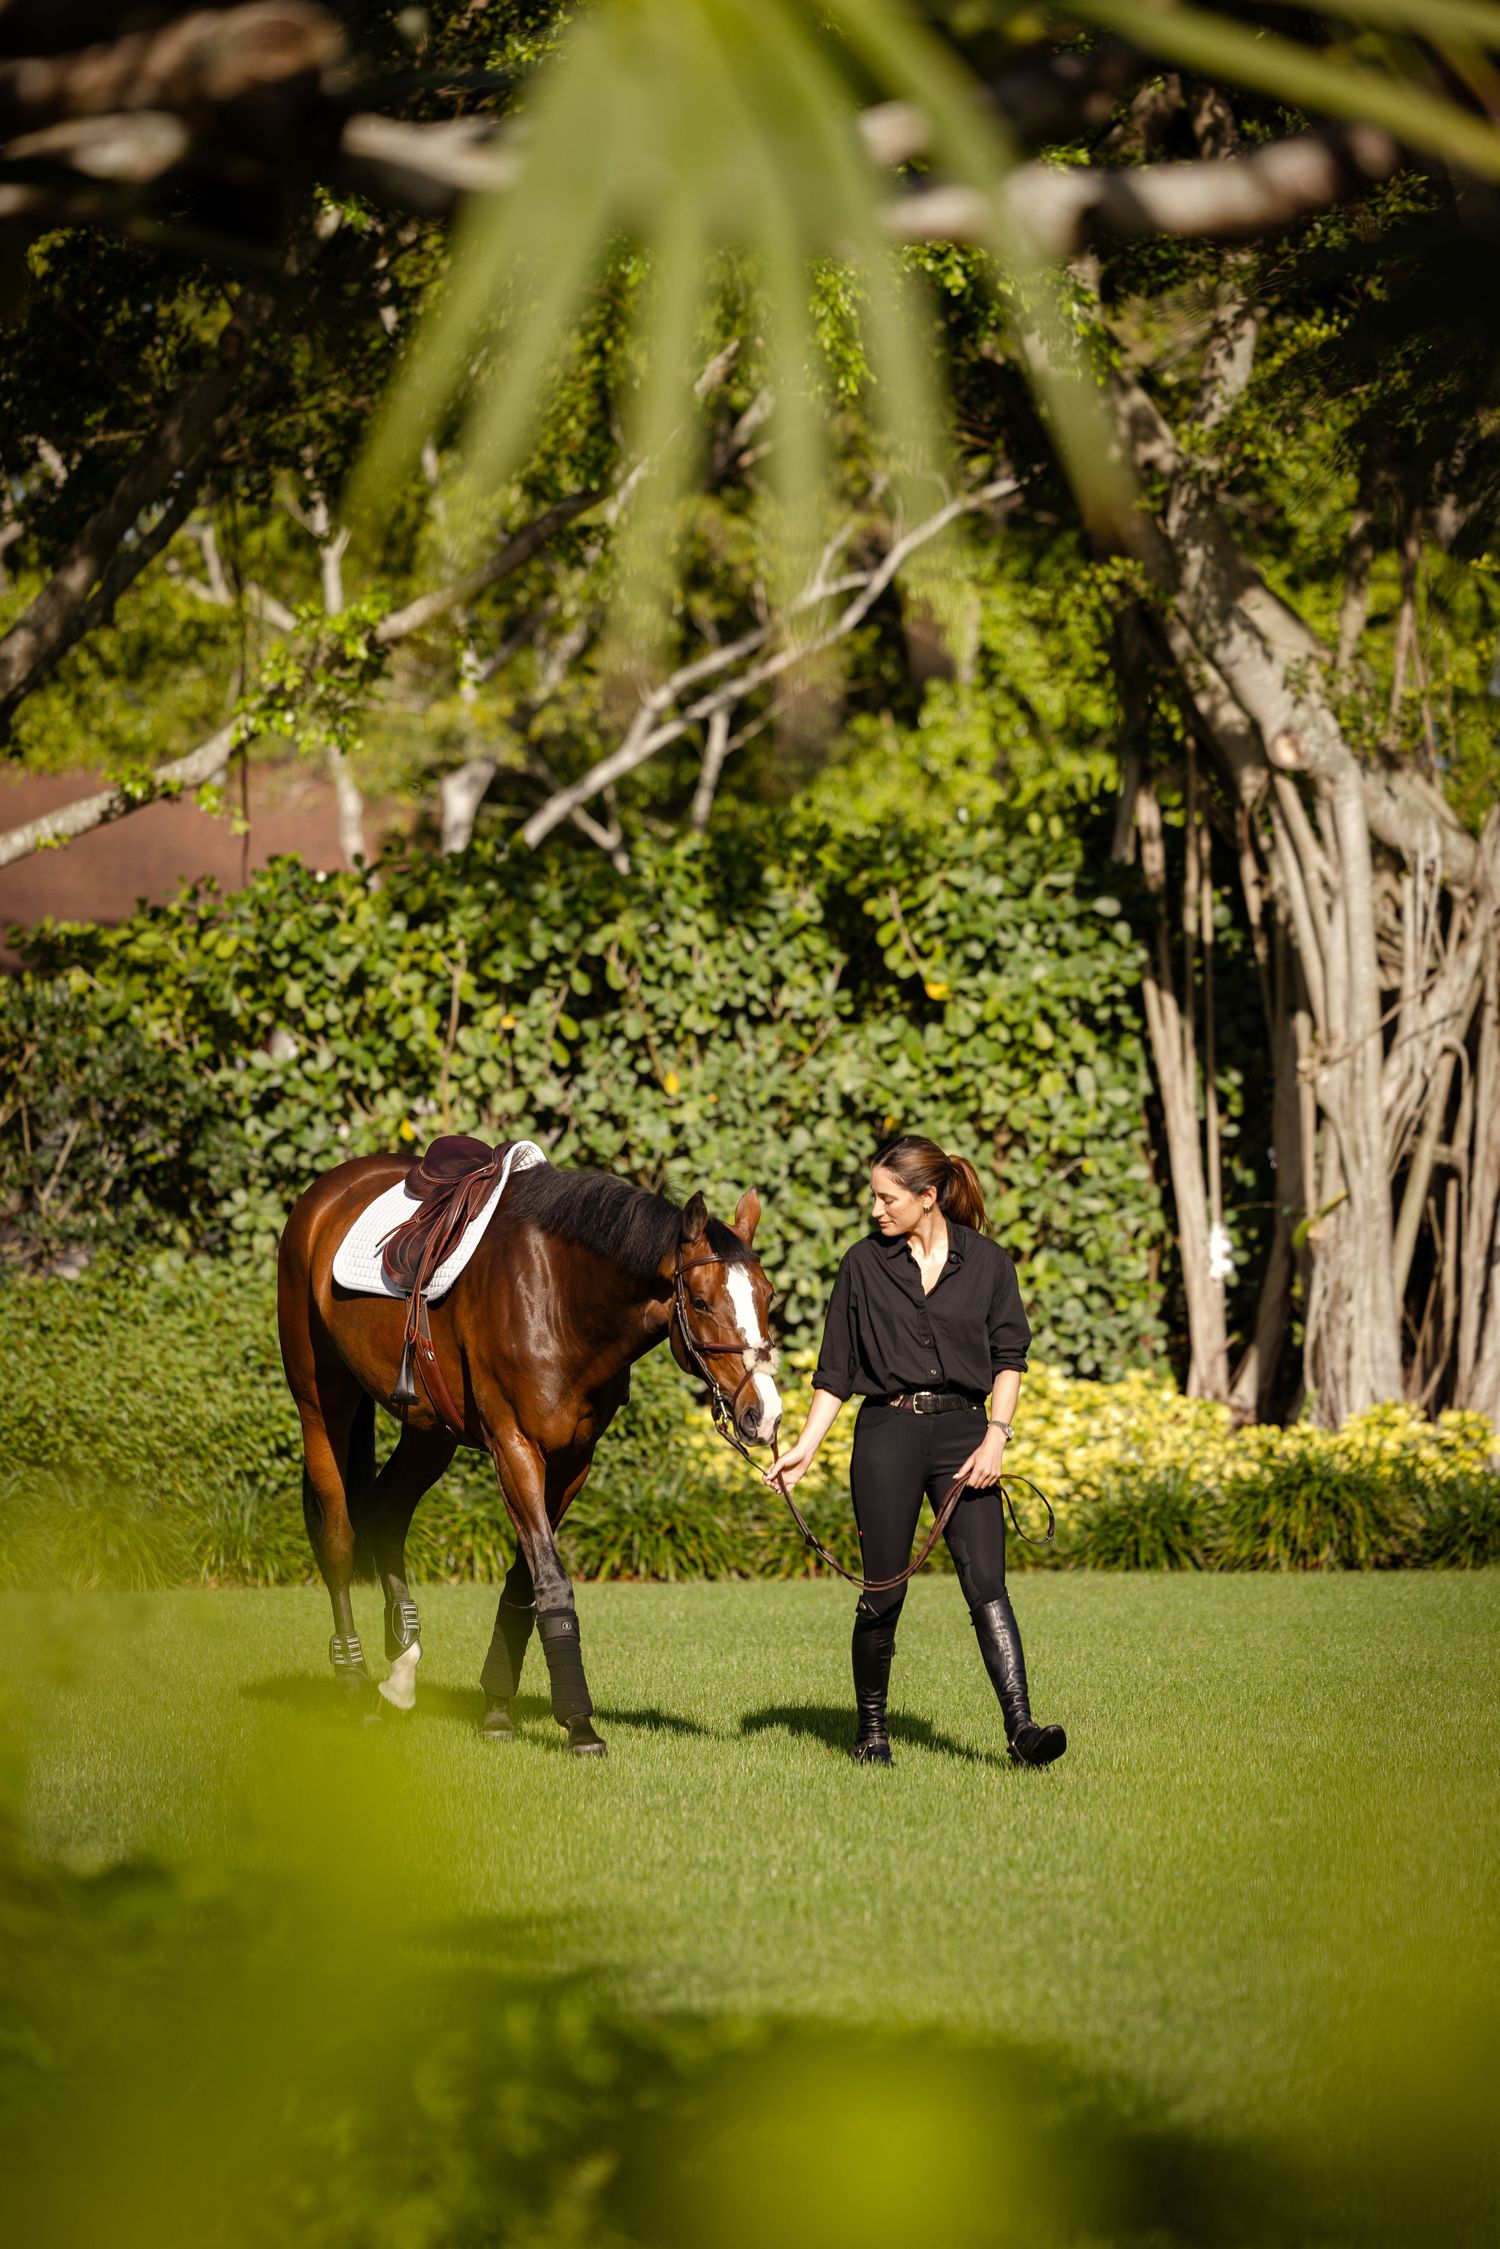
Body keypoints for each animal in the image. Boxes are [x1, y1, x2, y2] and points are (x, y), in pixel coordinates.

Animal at [276, 1146, 781, 1754]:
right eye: (702, 1302)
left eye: (768, 1296)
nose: (764, 1414)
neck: (559, 1295)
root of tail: (325, 1194)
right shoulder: (514, 1446)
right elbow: (552, 1583)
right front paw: (579, 1723)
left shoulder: (572, 1459)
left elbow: (526, 1582)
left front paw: (497, 1709)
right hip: (320, 1405)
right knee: (338, 1537)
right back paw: (351, 1684)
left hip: (429, 1432)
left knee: (386, 1515)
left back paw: (400, 1673)